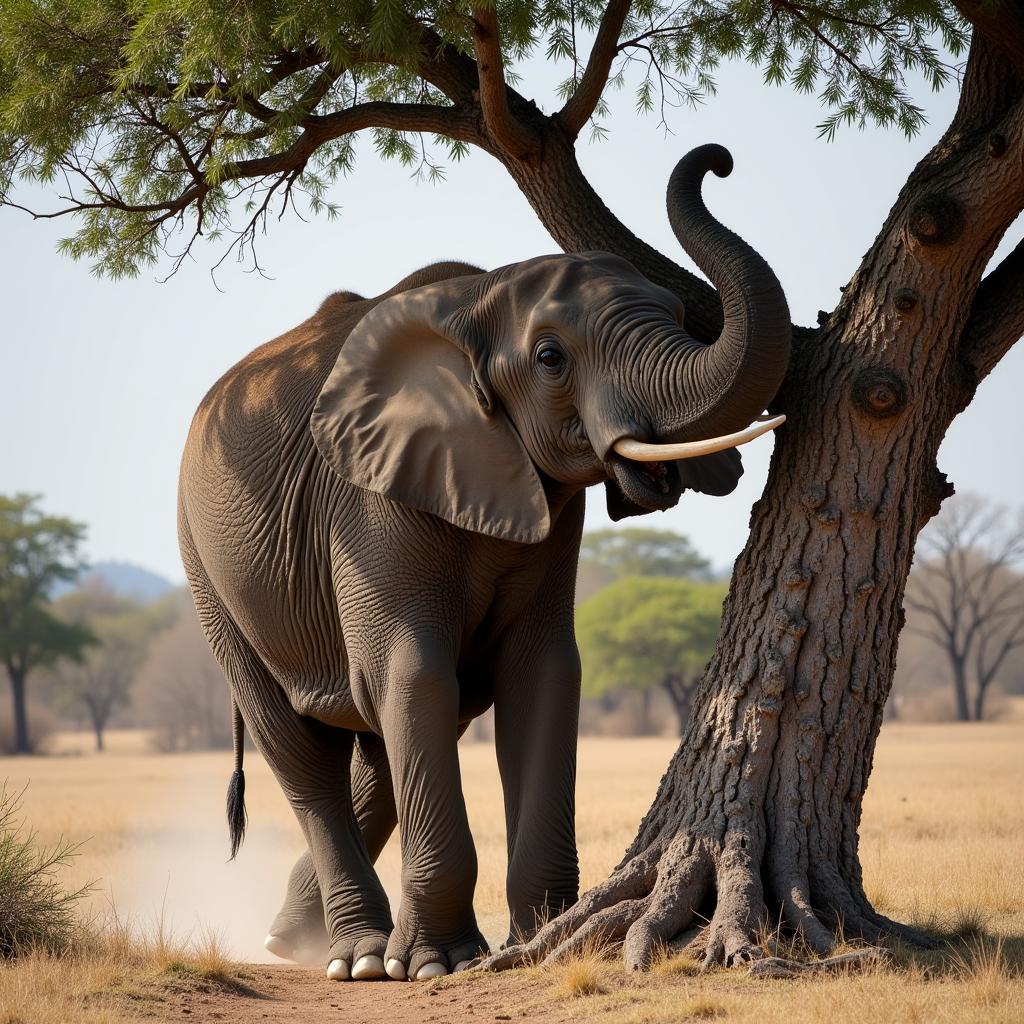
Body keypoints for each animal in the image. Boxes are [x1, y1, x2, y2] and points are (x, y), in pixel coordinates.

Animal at [178, 144, 790, 983]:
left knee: (377, 738)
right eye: (550, 357)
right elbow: (414, 675)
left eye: (675, 316)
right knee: (303, 747)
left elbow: (542, 674)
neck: (478, 302)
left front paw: (537, 940)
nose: (719, 161)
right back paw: (355, 958)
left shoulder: (551, 511)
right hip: (207, 570)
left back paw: (291, 938)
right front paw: (437, 965)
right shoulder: (368, 497)